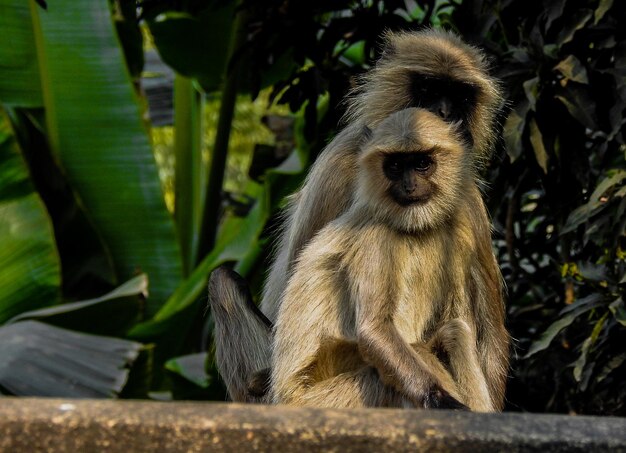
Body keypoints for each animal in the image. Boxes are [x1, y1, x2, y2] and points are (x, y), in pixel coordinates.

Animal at [207, 30, 504, 408]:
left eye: (460, 96)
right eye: (427, 88)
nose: (445, 113)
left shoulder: (466, 193)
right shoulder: (341, 161)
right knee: (223, 280)